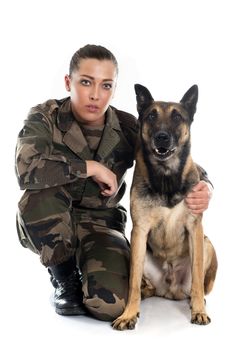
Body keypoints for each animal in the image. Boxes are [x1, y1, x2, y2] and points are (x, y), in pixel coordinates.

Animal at [112, 83, 218, 330]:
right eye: (151, 116)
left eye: (177, 116)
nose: (162, 138)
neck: (166, 176)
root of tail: (170, 290)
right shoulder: (139, 232)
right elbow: (132, 283)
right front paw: (129, 314)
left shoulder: (195, 228)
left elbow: (197, 278)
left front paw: (199, 311)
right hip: (137, 252)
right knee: (143, 284)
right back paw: (144, 295)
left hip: (206, 244)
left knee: (197, 286)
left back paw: (198, 302)